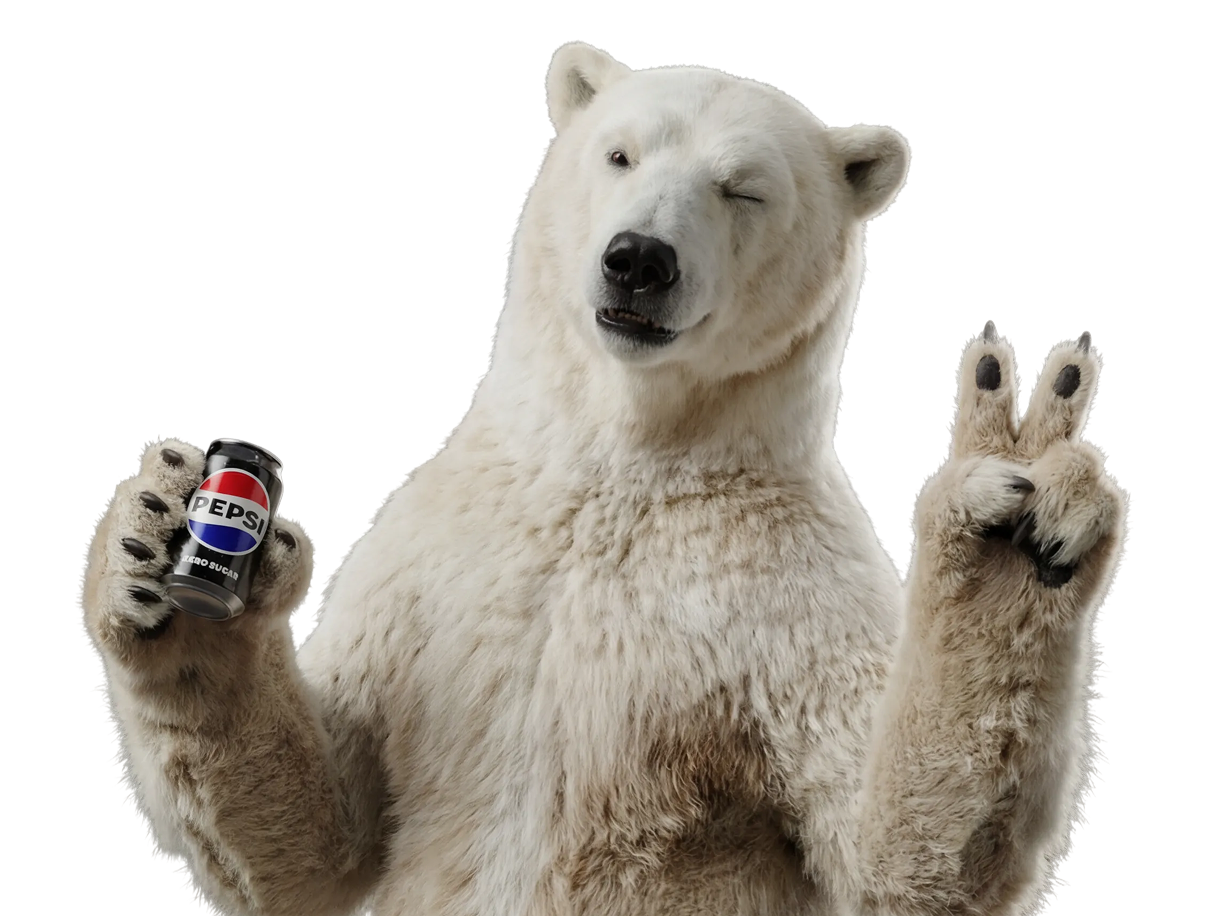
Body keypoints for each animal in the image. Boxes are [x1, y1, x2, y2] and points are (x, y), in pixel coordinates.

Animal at [78, 40, 1127, 915]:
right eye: (619, 154)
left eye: (741, 189)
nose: (638, 260)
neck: (620, 467)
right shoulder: (432, 561)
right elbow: (322, 842)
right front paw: (171, 555)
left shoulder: (779, 593)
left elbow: (883, 850)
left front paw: (1011, 518)